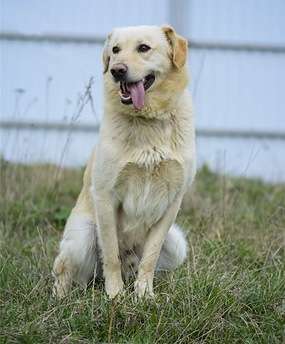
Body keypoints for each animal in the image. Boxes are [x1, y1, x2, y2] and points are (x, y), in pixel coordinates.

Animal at [52, 24, 195, 298]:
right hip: (82, 236)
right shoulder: (106, 196)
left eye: (144, 48)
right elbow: (111, 255)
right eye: (115, 50)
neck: (148, 121)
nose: (117, 70)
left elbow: (149, 259)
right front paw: (115, 296)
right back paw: (59, 299)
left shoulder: (173, 202)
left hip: (178, 243)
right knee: (65, 272)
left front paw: (143, 295)